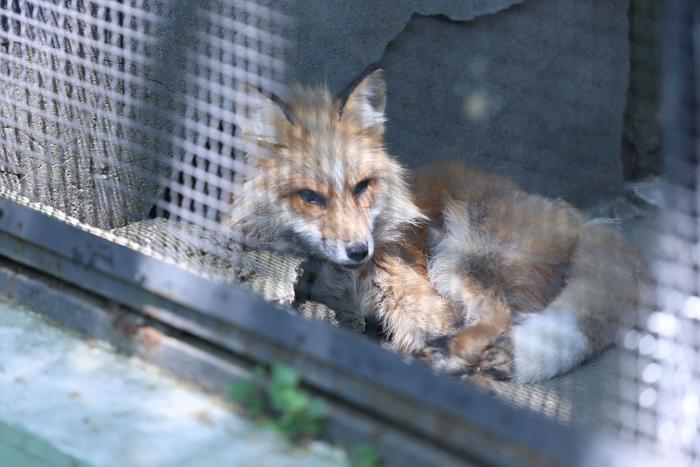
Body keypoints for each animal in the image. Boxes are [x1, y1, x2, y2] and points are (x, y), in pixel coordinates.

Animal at [224, 67, 640, 386]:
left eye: (362, 186)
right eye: (310, 197)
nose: (359, 251)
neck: (338, 278)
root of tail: (583, 218)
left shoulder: (422, 300)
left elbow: (435, 334)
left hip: (458, 254)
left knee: (500, 317)